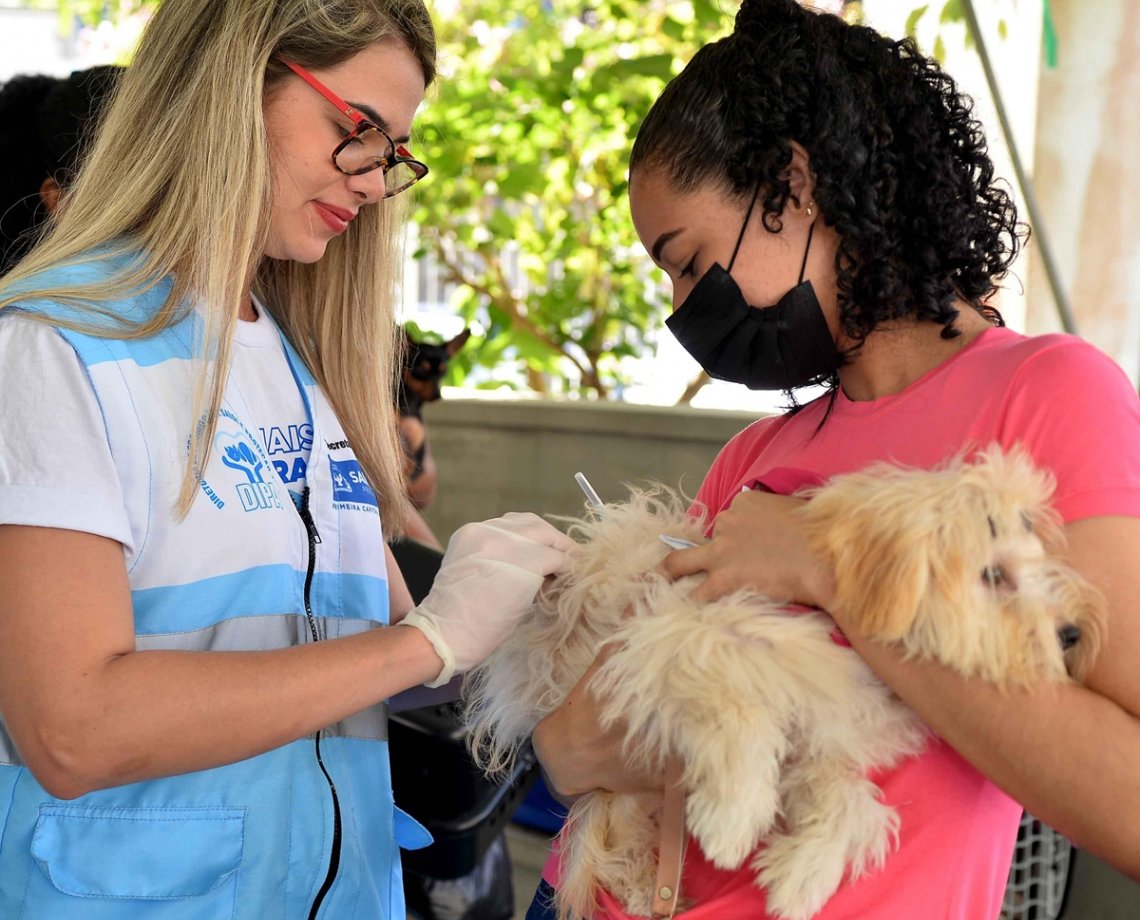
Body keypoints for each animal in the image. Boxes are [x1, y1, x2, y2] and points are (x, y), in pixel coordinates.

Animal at [462, 449, 1103, 920]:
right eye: (992, 573)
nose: (1071, 633)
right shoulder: (677, 636)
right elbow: (738, 712)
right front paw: (732, 822)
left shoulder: (817, 734)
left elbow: (851, 805)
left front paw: (801, 879)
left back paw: (649, 890)